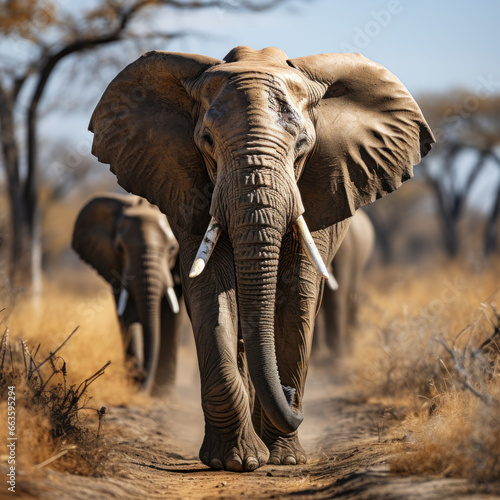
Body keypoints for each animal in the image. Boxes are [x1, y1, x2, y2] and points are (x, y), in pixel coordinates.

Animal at [72, 194, 184, 394]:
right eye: (119, 248)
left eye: (172, 248)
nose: (140, 384)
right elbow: (127, 315)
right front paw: (135, 383)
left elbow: (172, 315)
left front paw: (161, 394)